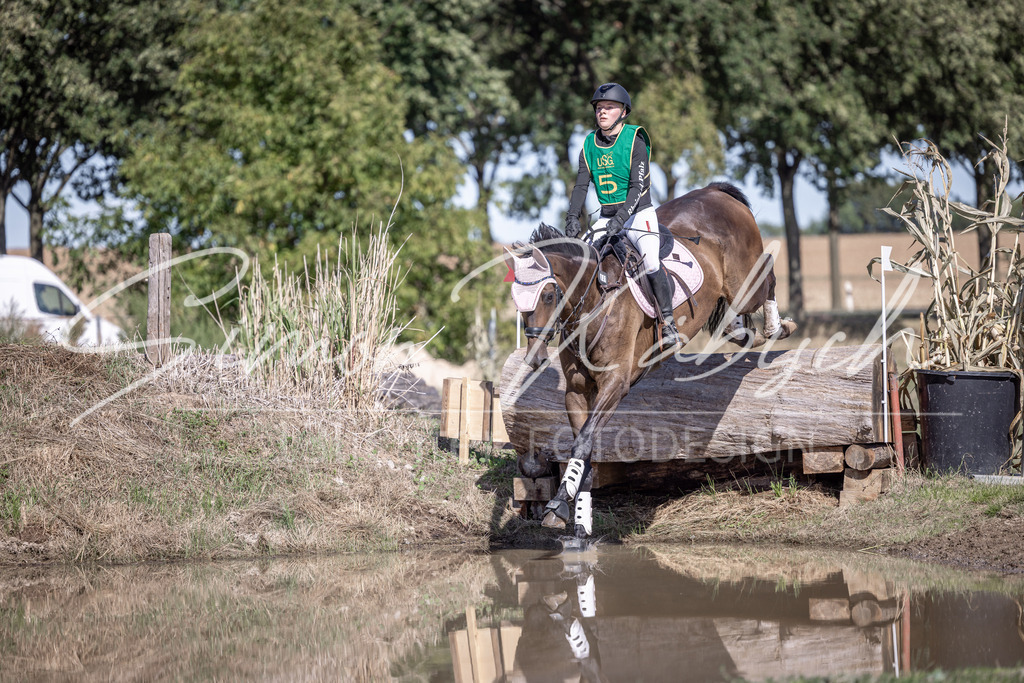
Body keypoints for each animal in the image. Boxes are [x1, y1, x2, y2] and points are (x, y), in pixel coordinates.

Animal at [503, 182, 796, 540]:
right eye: (516, 301)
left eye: (547, 295)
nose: (534, 357)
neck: (595, 301)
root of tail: (714, 191)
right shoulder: (577, 391)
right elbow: (584, 451)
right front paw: (580, 521)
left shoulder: (615, 385)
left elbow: (583, 443)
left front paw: (559, 505)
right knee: (737, 313)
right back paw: (741, 331)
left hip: (745, 282)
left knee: (767, 272)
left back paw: (777, 327)